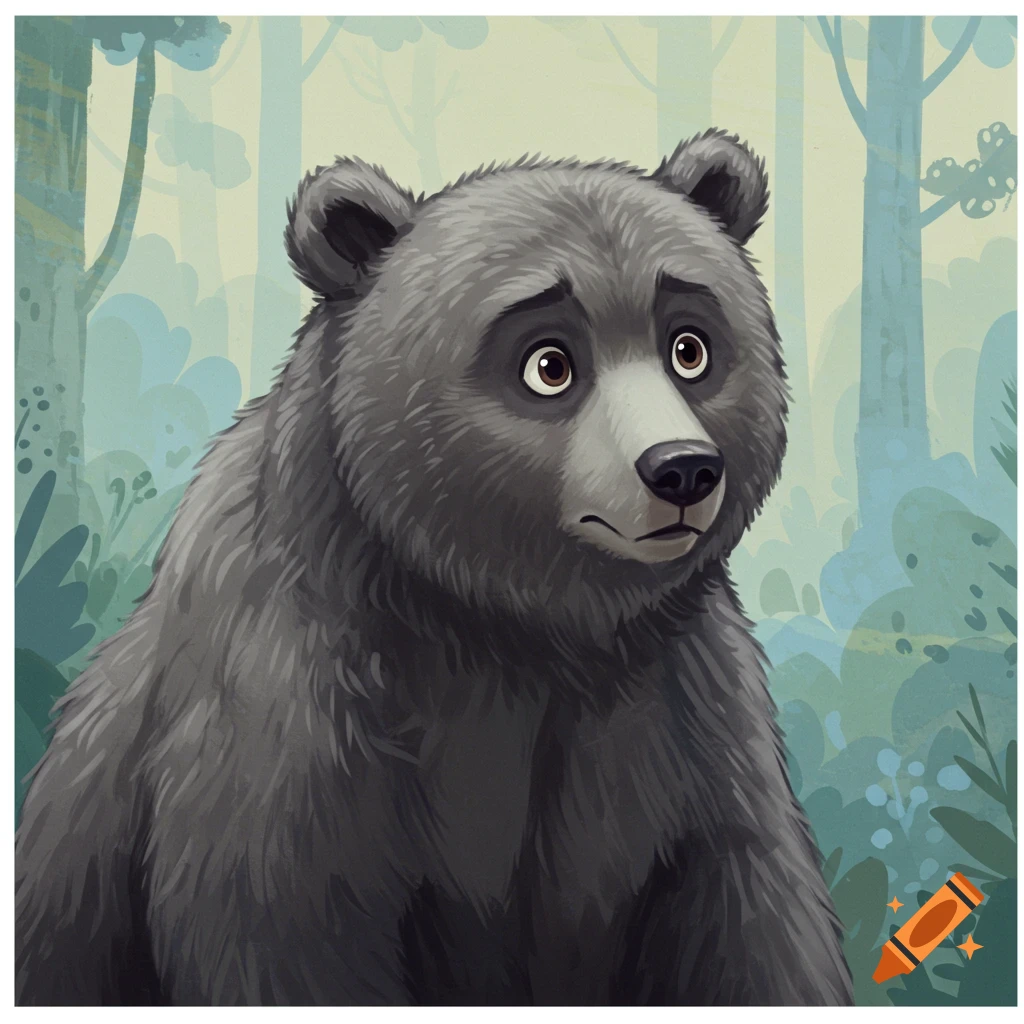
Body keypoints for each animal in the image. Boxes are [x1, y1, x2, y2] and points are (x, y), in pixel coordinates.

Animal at [15, 129, 853, 1007]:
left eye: (689, 346)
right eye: (550, 363)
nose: (682, 469)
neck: (506, 620)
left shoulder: (673, 709)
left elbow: (747, 914)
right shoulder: (296, 692)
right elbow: (284, 919)